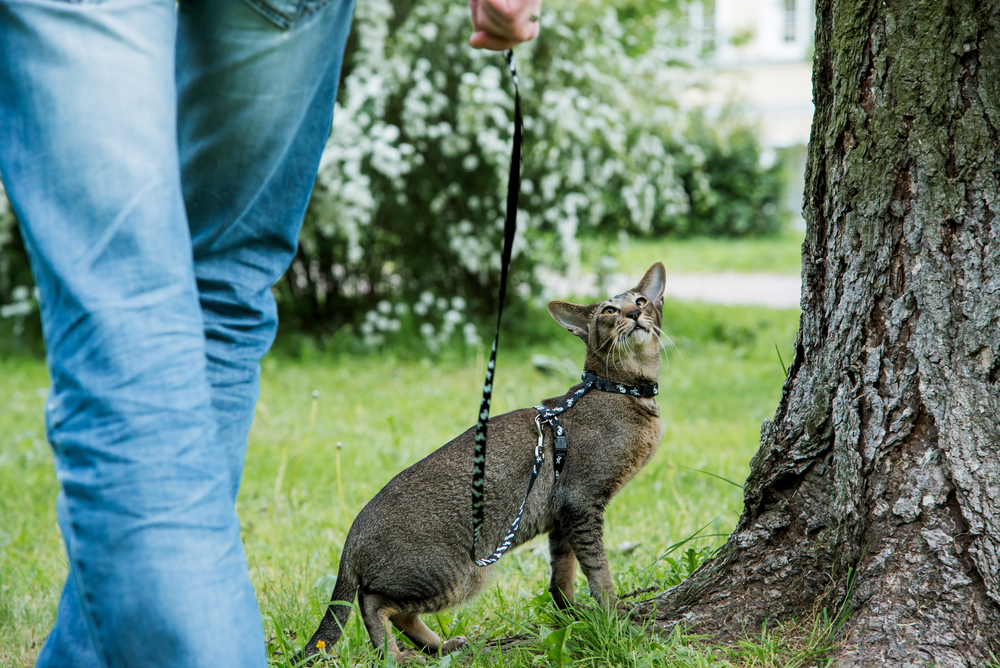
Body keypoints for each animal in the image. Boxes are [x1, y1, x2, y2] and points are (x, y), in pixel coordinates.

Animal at [300, 262, 668, 664]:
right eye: (609, 310)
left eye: (641, 300)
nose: (633, 313)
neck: (621, 390)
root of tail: (352, 534)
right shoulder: (581, 501)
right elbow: (598, 568)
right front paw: (611, 613)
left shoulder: (561, 515)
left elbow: (562, 575)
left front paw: (572, 614)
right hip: (456, 573)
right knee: (372, 601)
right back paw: (393, 655)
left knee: (397, 611)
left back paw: (439, 646)